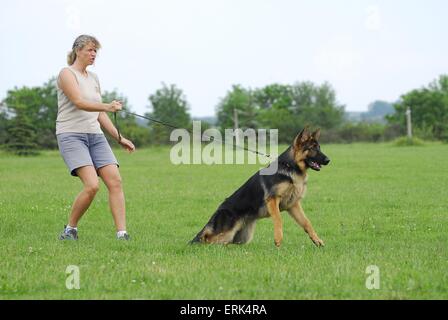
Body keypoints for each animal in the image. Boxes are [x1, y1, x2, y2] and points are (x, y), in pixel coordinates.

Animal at [191, 127, 330, 248]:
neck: (290, 166)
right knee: (205, 239)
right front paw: (278, 240)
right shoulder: (273, 200)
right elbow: (278, 219)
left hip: (242, 237)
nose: (328, 160)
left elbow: (307, 222)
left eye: (319, 147)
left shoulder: (293, 205)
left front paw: (317, 240)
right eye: (312, 148)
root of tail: (218, 210)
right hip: (226, 232)